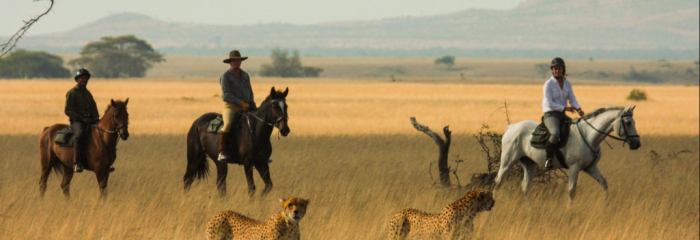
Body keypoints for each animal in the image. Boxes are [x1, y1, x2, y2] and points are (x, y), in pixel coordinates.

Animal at [492, 106, 640, 202]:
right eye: (628, 122)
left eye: (634, 121)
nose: (637, 144)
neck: (589, 136)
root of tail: (511, 127)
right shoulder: (574, 167)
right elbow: (572, 190)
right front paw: (570, 210)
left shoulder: (591, 167)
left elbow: (604, 184)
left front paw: (605, 206)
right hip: (507, 162)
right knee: (498, 182)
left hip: (529, 164)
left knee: (525, 187)